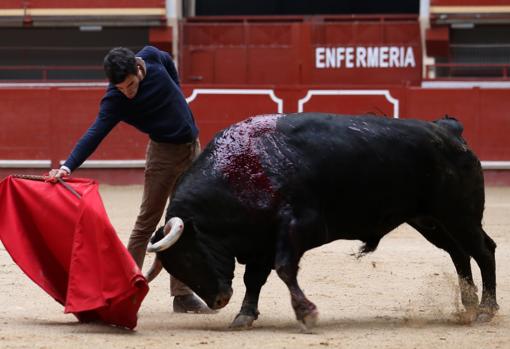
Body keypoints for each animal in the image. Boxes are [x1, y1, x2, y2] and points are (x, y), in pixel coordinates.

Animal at [145, 113, 496, 328]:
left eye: (189, 255)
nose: (219, 300)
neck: (242, 169)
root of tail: (449, 131)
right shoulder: (261, 241)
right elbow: (254, 279)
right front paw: (244, 316)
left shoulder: (297, 228)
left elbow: (284, 269)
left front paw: (307, 313)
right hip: (430, 220)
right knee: (458, 252)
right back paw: (468, 304)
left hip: (459, 214)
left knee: (483, 250)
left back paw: (486, 310)